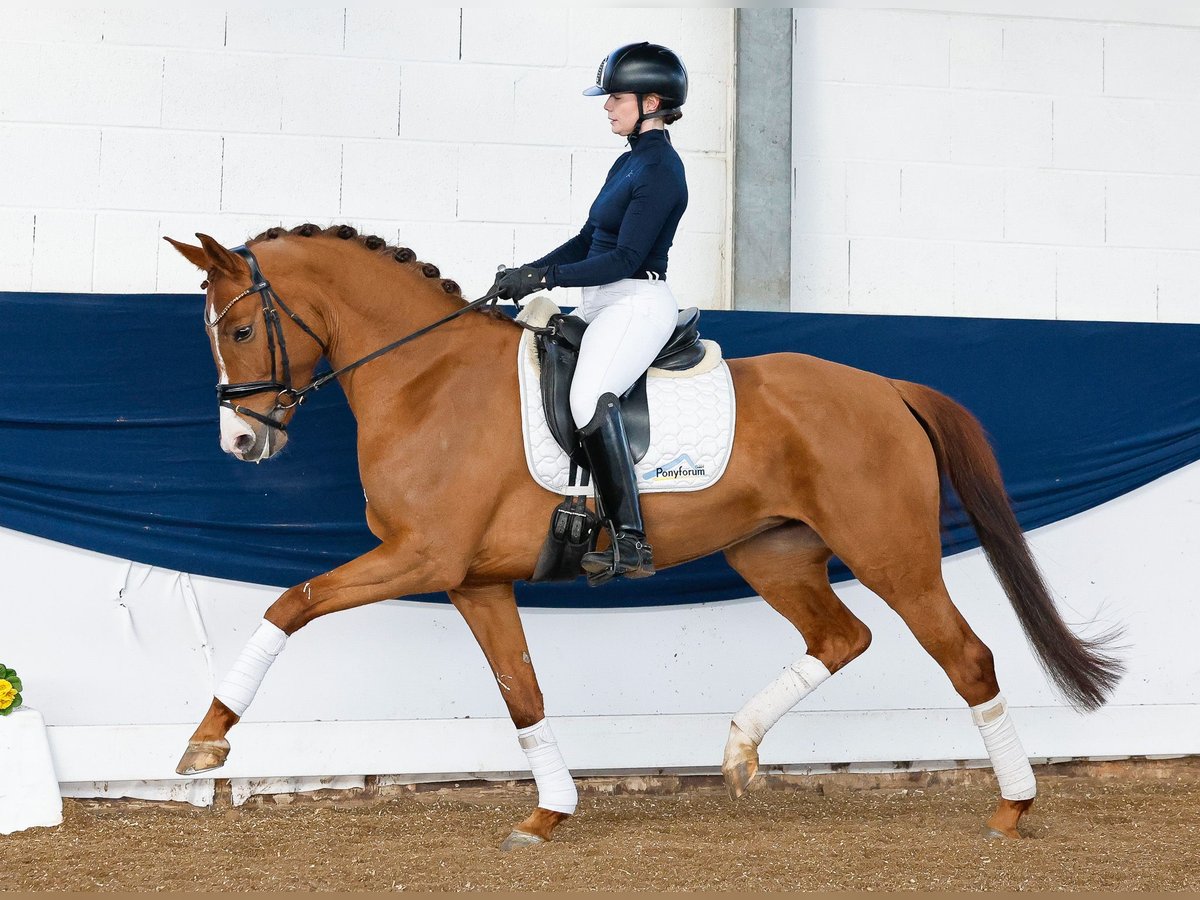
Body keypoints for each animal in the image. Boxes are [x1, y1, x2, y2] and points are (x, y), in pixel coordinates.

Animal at [164, 222, 1118, 849]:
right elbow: (521, 692)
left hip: (894, 555)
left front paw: (206, 740)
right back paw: (738, 751)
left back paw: (1013, 808)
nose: (242, 443)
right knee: (842, 636)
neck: (425, 378)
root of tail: (887, 386)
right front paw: (547, 813)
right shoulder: (473, 578)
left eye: (241, 328)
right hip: (772, 552)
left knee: (968, 659)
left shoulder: (420, 558)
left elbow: (291, 604)